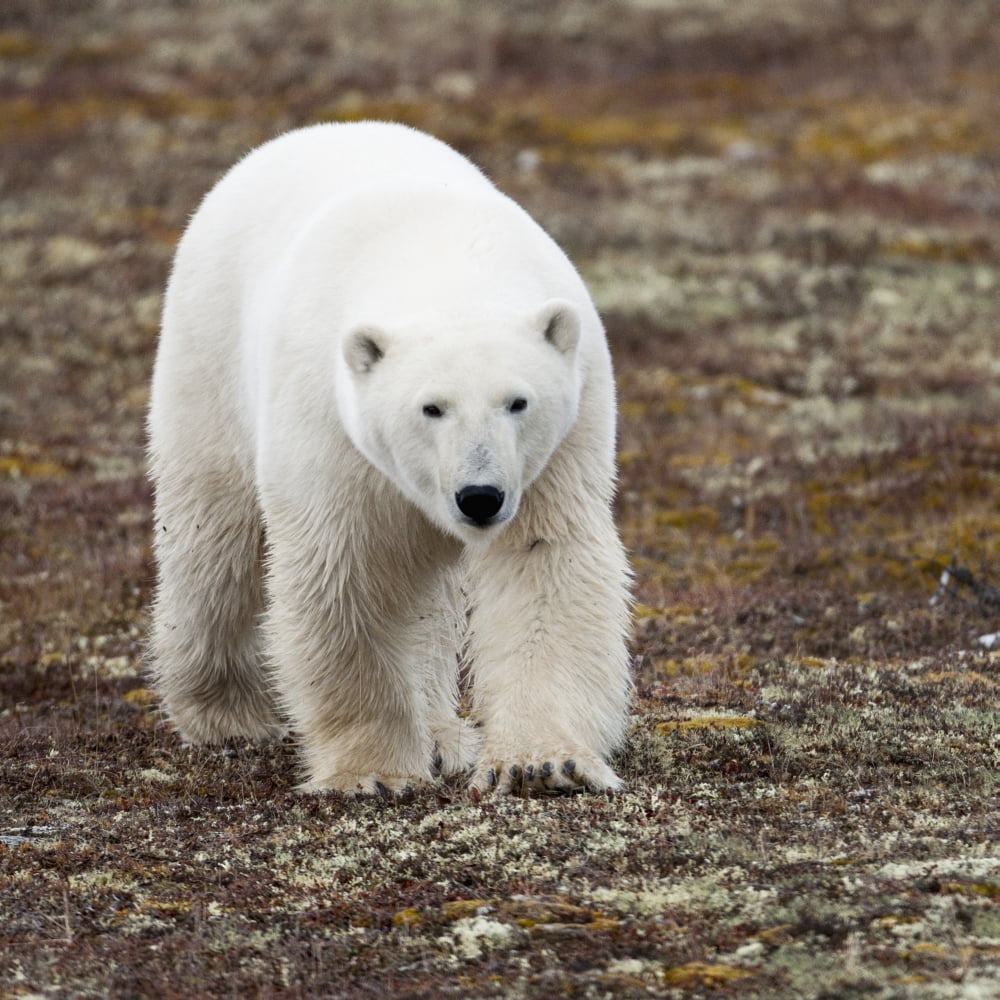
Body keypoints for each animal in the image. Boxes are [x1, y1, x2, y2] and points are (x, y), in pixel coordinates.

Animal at [147, 121, 632, 796]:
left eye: (518, 402)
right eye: (431, 407)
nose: (479, 497)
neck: (443, 263)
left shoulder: (562, 447)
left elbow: (543, 564)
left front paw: (542, 763)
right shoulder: (331, 431)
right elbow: (344, 577)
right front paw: (372, 773)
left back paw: (442, 734)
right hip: (208, 361)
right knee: (215, 542)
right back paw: (225, 712)